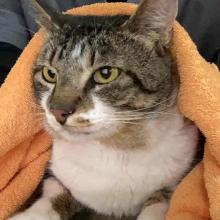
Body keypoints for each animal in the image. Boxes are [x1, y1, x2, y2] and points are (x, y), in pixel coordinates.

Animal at [8, 0, 199, 219]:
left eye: (106, 74)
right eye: (50, 74)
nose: (58, 112)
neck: (115, 147)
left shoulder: (178, 177)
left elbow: (160, 202)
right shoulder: (57, 176)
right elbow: (55, 194)